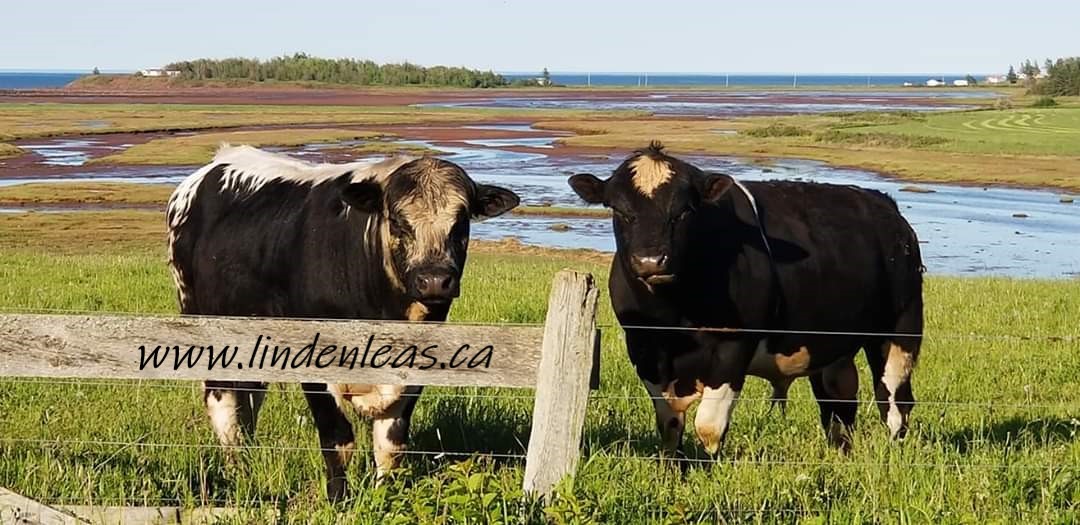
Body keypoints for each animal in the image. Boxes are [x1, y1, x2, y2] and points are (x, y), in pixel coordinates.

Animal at [166, 145, 519, 500]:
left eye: (461, 223)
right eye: (397, 221)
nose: (434, 281)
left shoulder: (419, 365)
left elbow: (390, 444)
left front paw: (383, 496)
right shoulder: (312, 361)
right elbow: (337, 439)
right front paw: (338, 499)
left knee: (248, 403)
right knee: (223, 406)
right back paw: (237, 472)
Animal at [568, 142, 923, 458]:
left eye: (683, 212)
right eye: (619, 210)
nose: (651, 261)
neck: (674, 316)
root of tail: (885, 205)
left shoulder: (733, 347)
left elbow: (708, 427)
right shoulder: (645, 350)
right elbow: (669, 424)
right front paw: (674, 472)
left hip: (899, 331)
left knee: (894, 399)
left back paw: (894, 456)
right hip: (831, 343)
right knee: (839, 400)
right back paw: (841, 455)